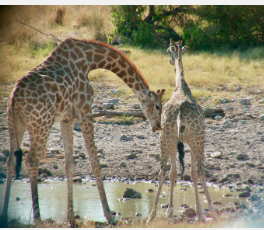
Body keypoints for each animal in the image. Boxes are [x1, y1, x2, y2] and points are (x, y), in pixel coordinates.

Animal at [0, 37, 165, 226]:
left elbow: (69, 165)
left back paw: (5, 216)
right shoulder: (85, 111)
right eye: (157, 106)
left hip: (15, 123)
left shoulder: (67, 118)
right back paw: (38, 219)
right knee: (32, 161)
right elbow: (95, 163)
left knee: (11, 161)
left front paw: (71, 218)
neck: (89, 60)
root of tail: (14, 97)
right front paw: (109, 216)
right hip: (41, 123)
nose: (158, 126)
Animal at [147, 38, 213, 223]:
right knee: (199, 170)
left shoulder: (176, 143)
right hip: (197, 140)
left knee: (163, 171)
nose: (170, 61)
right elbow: (189, 172)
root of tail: (180, 115)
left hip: (166, 139)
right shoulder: (187, 142)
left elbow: (174, 172)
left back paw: (151, 215)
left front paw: (170, 211)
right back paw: (208, 211)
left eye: (168, 51)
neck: (181, 87)